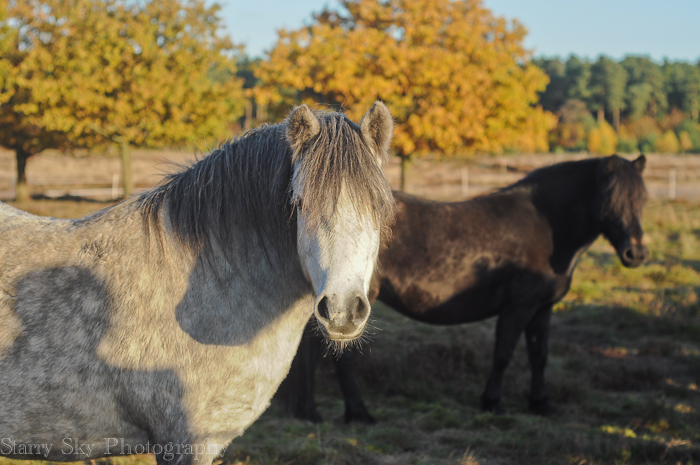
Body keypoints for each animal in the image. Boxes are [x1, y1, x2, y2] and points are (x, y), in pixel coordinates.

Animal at [283, 154, 648, 423]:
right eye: (612, 199)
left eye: (642, 199)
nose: (636, 254)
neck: (547, 228)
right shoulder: (519, 307)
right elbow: (503, 354)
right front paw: (492, 402)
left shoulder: (542, 309)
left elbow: (539, 355)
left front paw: (540, 403)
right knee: (338, 356)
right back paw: (356, 413)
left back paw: (308, 410)